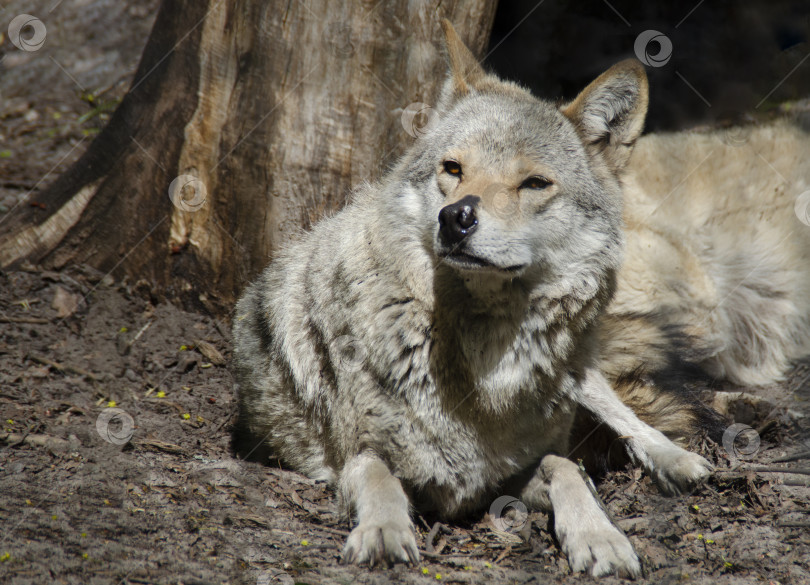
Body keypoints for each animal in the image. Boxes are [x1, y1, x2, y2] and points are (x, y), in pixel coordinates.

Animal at [230, 20, 808, 576]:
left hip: (590, 368)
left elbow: (566, 467)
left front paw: (600, 538)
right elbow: (377, 476)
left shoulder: (508, 476)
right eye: (453, 169)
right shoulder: (359, 456)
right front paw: (383, 533)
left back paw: (686, 454)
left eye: (533, 183)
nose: (456, 217)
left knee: (624, 405)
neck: (483, 357)